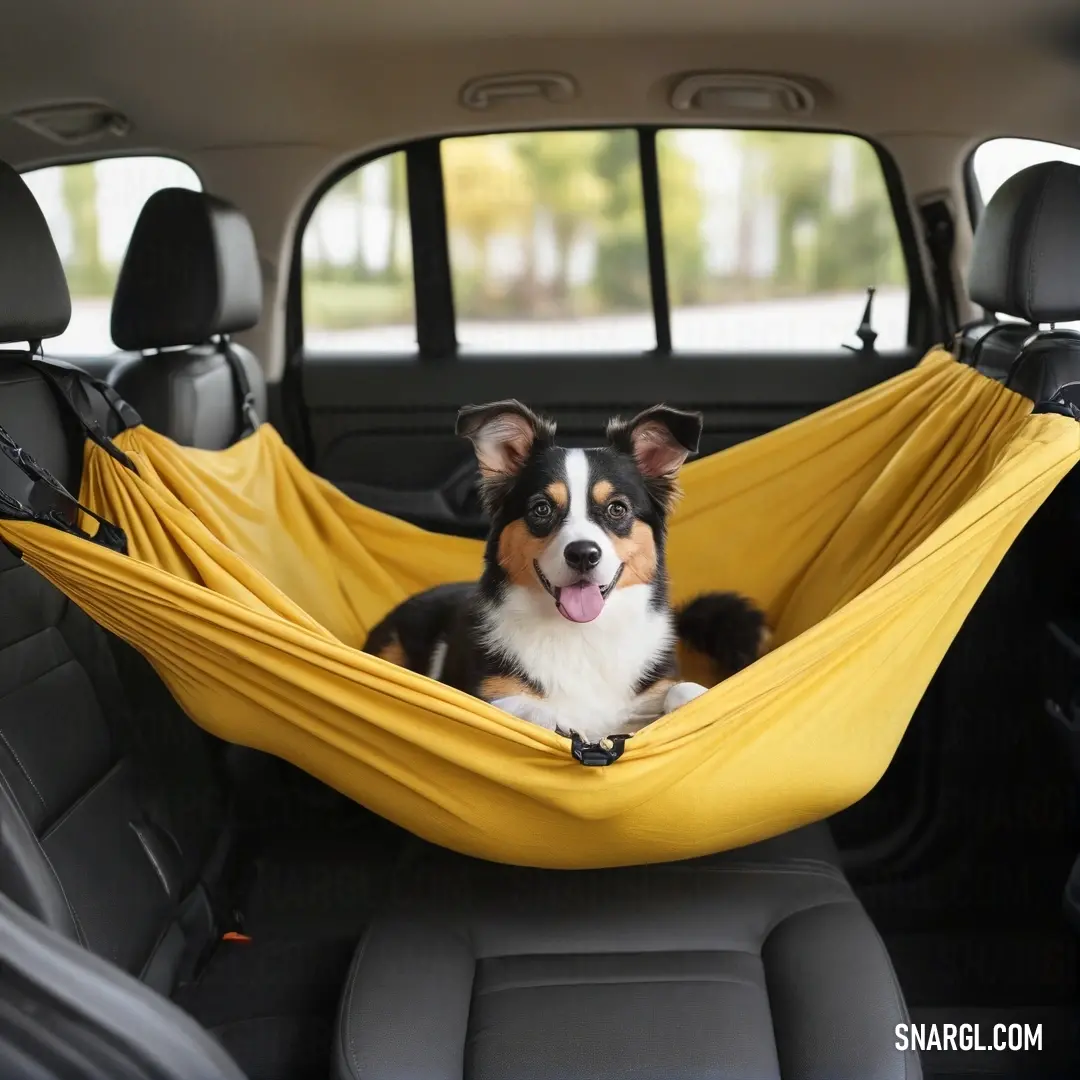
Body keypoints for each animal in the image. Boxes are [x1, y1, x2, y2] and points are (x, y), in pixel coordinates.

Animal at [362, 401, 768, 747]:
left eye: (617, 508)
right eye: (542, 508)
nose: (583, 555)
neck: (581, 636)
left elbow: (683, 690)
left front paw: (699, 700)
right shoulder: (482, 691)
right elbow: (520, 706)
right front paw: (551, 718)